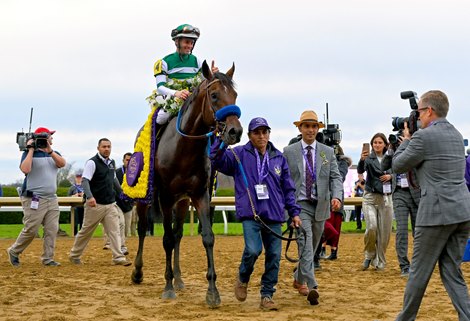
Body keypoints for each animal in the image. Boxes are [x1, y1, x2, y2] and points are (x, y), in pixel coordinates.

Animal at [131, 60, 242, 308]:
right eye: (214, 95)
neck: (183, 149)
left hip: (182, 202)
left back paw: (179, 278)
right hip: (145, 198)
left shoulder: (200, 195)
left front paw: (212, 291)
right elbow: (166, 239)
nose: (235, 131)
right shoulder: (165, 197)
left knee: (179, 233)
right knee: (142, 229)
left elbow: (207, 237)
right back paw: (138, 272)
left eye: (235, 95)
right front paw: (167, 287)